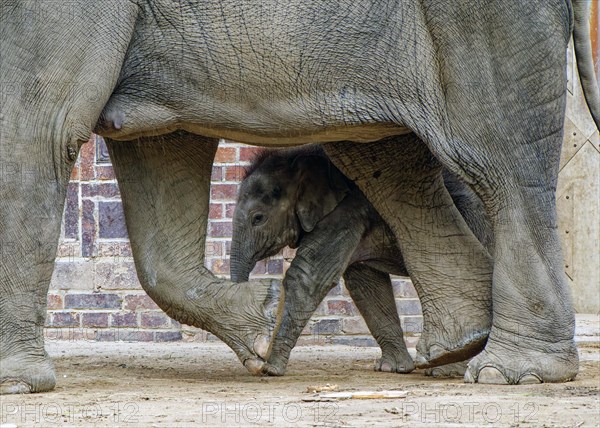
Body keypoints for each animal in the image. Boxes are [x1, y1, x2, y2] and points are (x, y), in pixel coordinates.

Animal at [231, 145, 492, 376]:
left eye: (258, 218)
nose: (257, 359)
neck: (299, 157)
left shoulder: (346, 212)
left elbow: (308, 276)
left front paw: (271, 369)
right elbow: (366, 284)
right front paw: (391, 368)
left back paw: (447, 369)